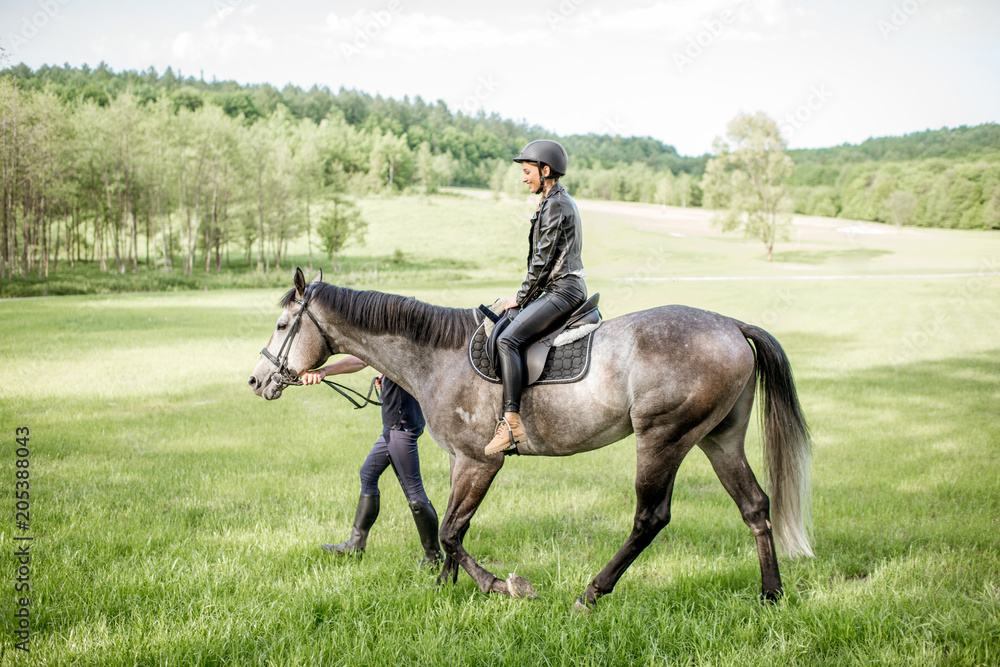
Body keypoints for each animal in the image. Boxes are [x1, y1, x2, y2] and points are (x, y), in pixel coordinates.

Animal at [248, 268, 812, 612]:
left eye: (282, 323)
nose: (257, 380)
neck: (439, 355)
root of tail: (731, 325)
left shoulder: (480, 462)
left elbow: (451, 531)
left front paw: (502, 585)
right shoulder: (460, 461)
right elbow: (450, 524)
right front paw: (444, 587)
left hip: (662, 439)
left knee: (650, 518)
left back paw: (591, 593)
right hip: (718, 438)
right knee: (754, 506)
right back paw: (771, 594)